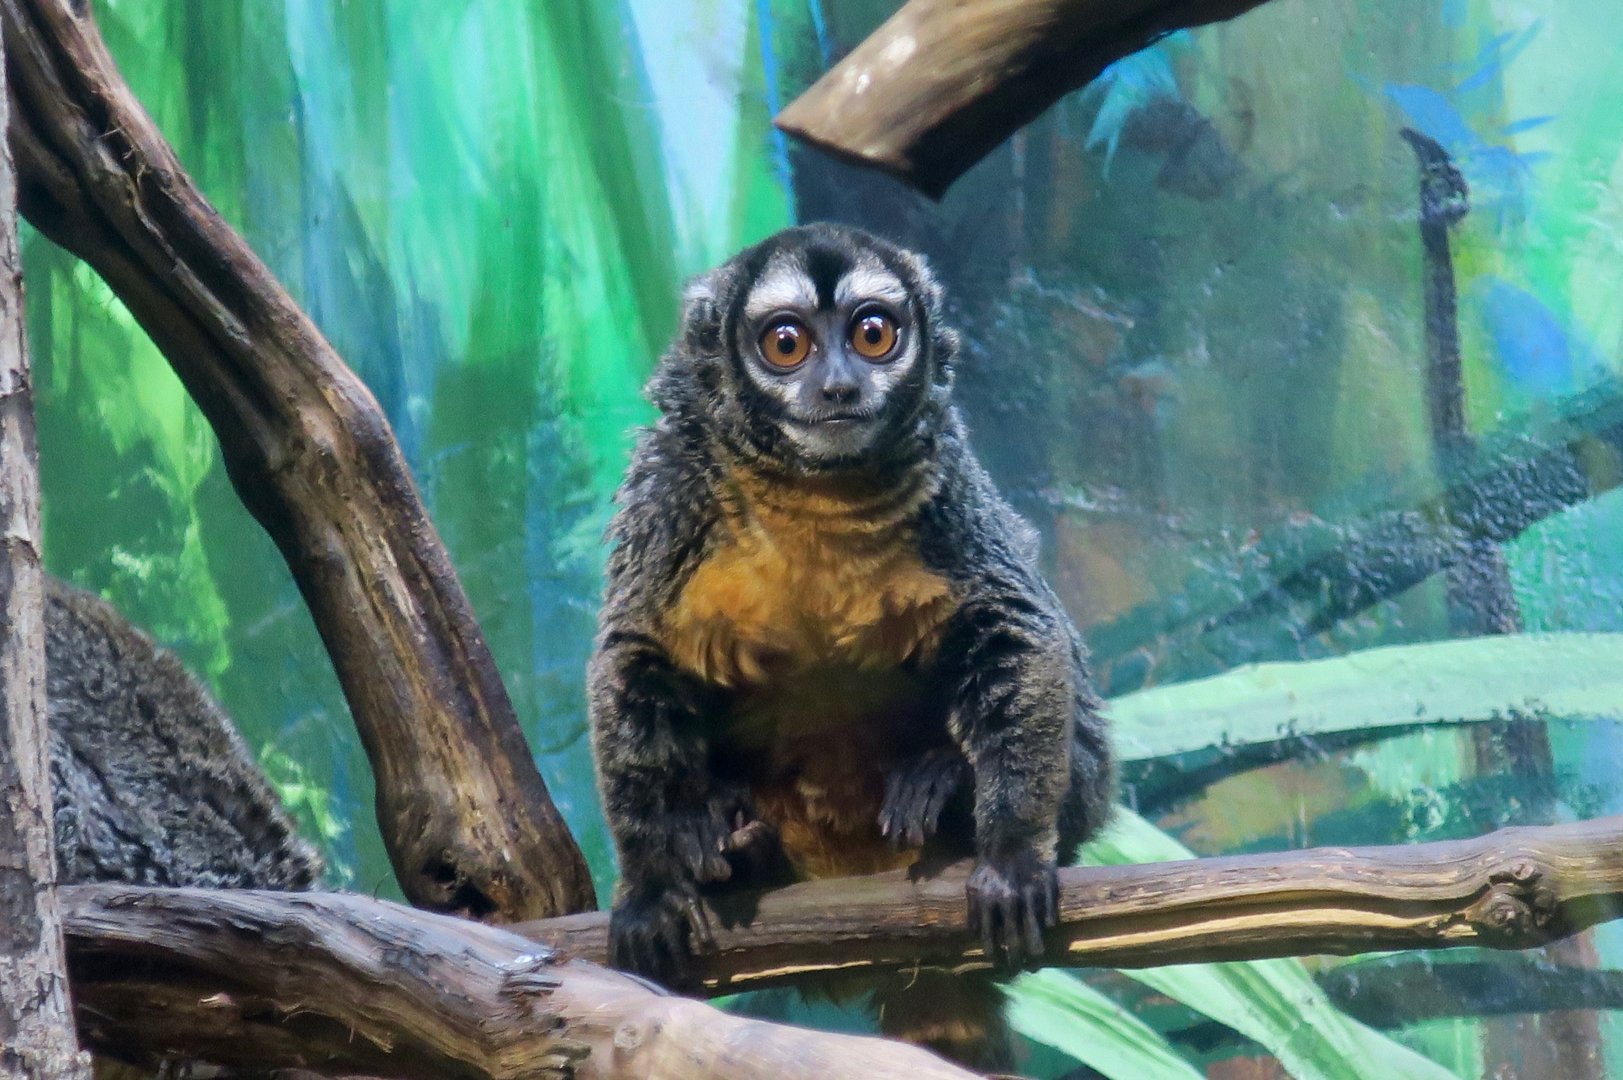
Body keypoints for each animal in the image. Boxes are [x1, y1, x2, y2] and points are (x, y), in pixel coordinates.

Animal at [589, 223, 1114, 1068]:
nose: (837, 387)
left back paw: (938, 789)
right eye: (786, 343)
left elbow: (1017, 624)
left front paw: (1011, 856)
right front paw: (651, 887)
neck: (810, 488)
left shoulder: (949, 481)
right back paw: (734, 841)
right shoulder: (667, 490)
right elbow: (634, 654)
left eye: (873, 334)